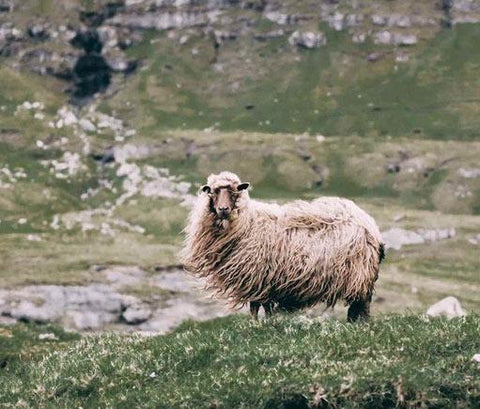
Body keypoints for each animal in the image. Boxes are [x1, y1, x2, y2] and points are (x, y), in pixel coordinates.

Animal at [182, 171, 384, 320]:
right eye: (213, 191)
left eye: (235, 191)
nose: (223, 209)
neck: (249, 223)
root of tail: (371, 224)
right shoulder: (263, 280)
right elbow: (260, 307)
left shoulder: (258, 277)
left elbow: (258, 308)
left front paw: (259, 325)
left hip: (360, 274)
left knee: (361, 305)